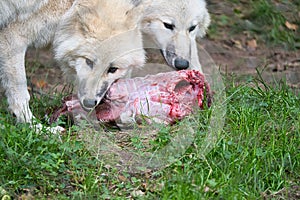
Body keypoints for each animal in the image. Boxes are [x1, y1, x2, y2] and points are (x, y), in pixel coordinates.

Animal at [0, 0, 145, 125]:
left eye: (112, 69)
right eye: (89, 62)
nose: (89, 103)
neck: (70, 7)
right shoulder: (13, 37)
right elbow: (21, 96)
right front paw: (35, 127)